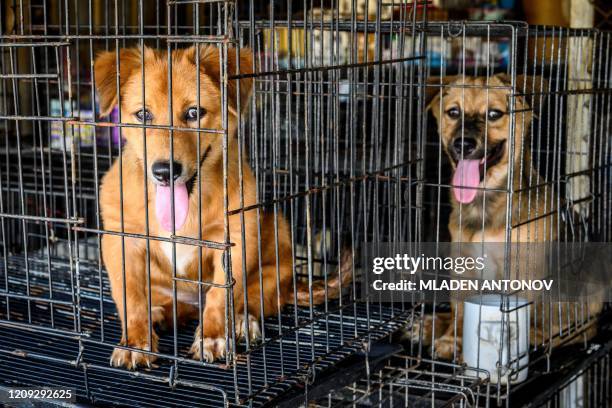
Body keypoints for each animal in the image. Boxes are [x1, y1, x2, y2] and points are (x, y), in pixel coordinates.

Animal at [94, 45, 346, 370]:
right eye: (143, 114)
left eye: (194, 113)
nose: (164, 171)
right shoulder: (121, 241)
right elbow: (130, 297)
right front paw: (136, 343)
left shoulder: (235, 240)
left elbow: (219, 296)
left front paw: (212, 338)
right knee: (174, 305)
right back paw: (160, 315)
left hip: (276, 239)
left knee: (251, 300)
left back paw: (241, 323)